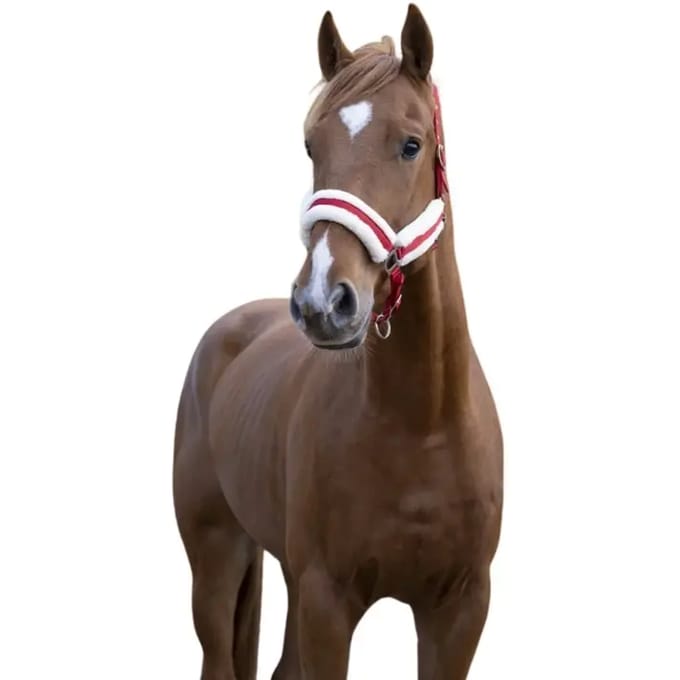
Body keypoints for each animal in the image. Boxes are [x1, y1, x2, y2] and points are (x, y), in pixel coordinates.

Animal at [173, 5, 503, 678]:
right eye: (311, 146)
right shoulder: (328, 599)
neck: (422, 424)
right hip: (216, 555)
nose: (323, 303)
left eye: (411, 144)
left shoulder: (460, 609)